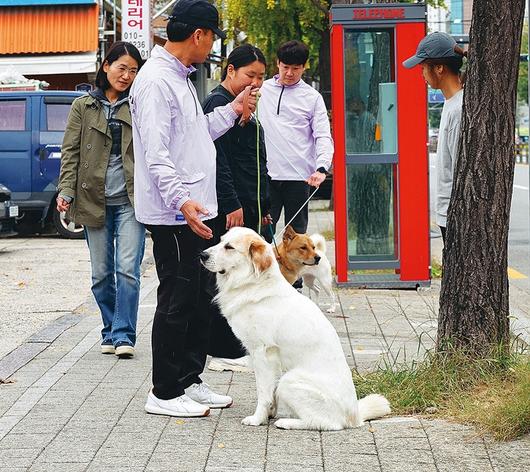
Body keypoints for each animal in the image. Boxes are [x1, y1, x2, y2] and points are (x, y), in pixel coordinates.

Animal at [198, 227, 388, 430]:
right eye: (220, 241)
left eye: (229, 247)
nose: (202, 255)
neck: (254, 283)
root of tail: (355, 416)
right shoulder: (271, 359)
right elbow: (270, 392)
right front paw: (269, 413)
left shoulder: (262, 353)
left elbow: (263, 392)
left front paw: (257, 419)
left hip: (290, 380)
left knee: (327, 423)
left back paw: (287, 422)